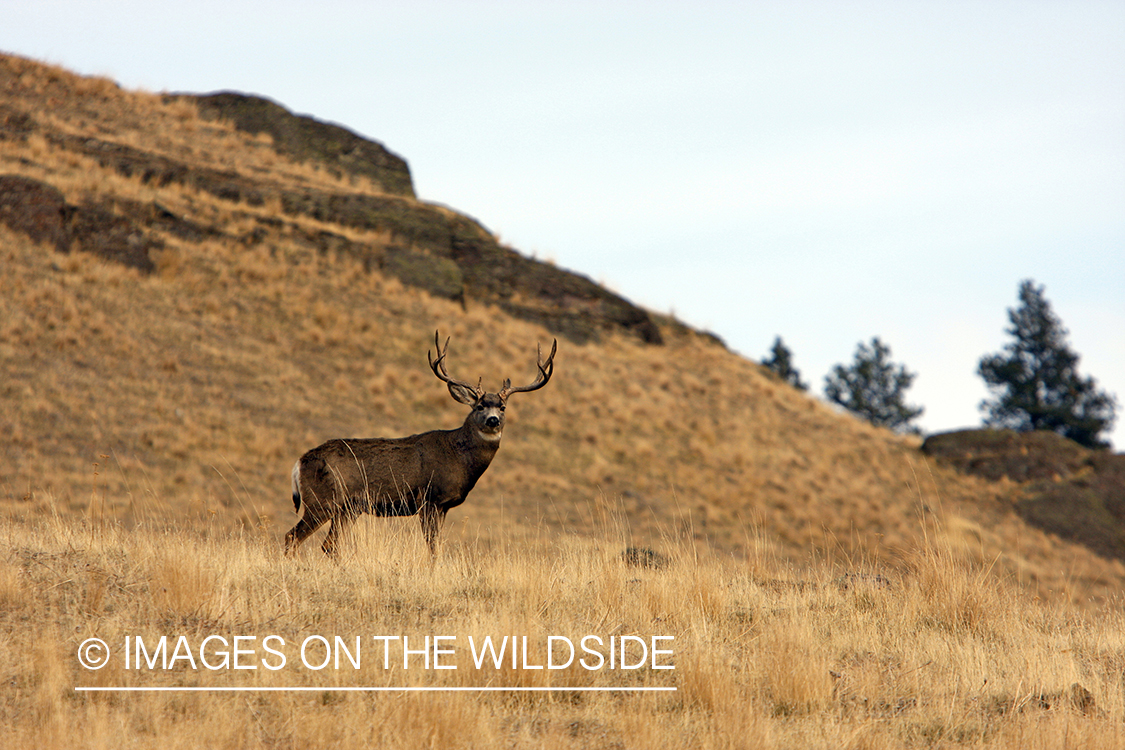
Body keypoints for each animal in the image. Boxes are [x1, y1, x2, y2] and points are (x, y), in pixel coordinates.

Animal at [284, 330, 557, 559]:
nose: (493, 420)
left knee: (328, 544)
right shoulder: (430, 499)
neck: (458, 456)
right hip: (322, 500)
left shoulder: (444, 507)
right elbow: (433, 548)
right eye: (479, 406)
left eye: (503, 407)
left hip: (348, 508)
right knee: (292, 537)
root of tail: (299, 462)